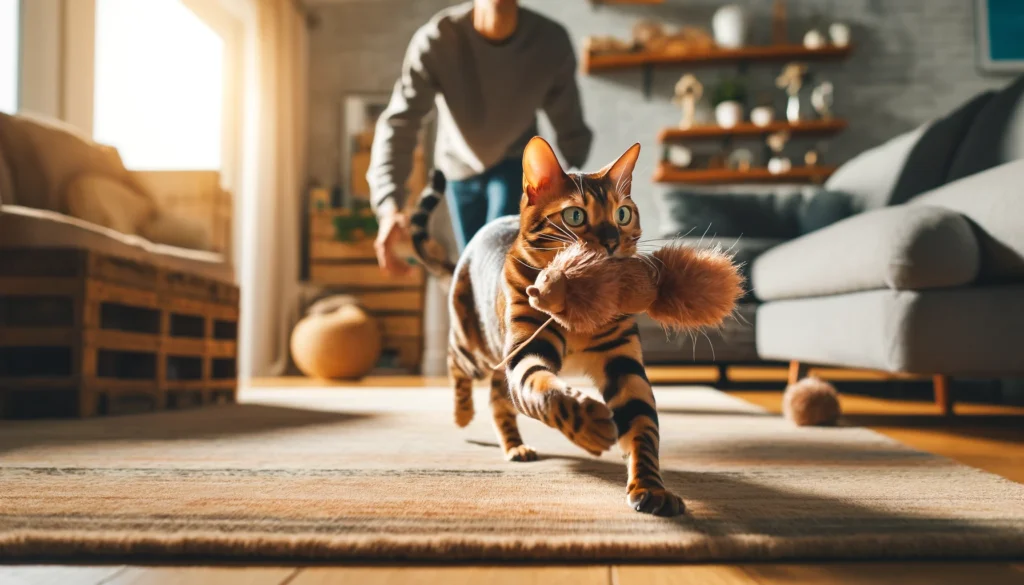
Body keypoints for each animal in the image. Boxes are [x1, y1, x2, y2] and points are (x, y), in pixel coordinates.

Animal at [411, 137, 684, 516]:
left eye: (623, 214)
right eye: (575, 215)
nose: (612, 240)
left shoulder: (624, 364)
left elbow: (643, 427)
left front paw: (650, 488)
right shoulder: (527, 351)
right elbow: (544, 389)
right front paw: (589, 422)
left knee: (498, 400)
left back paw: (515, 446)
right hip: (476, 347)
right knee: (457, 362)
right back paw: (462, 413)